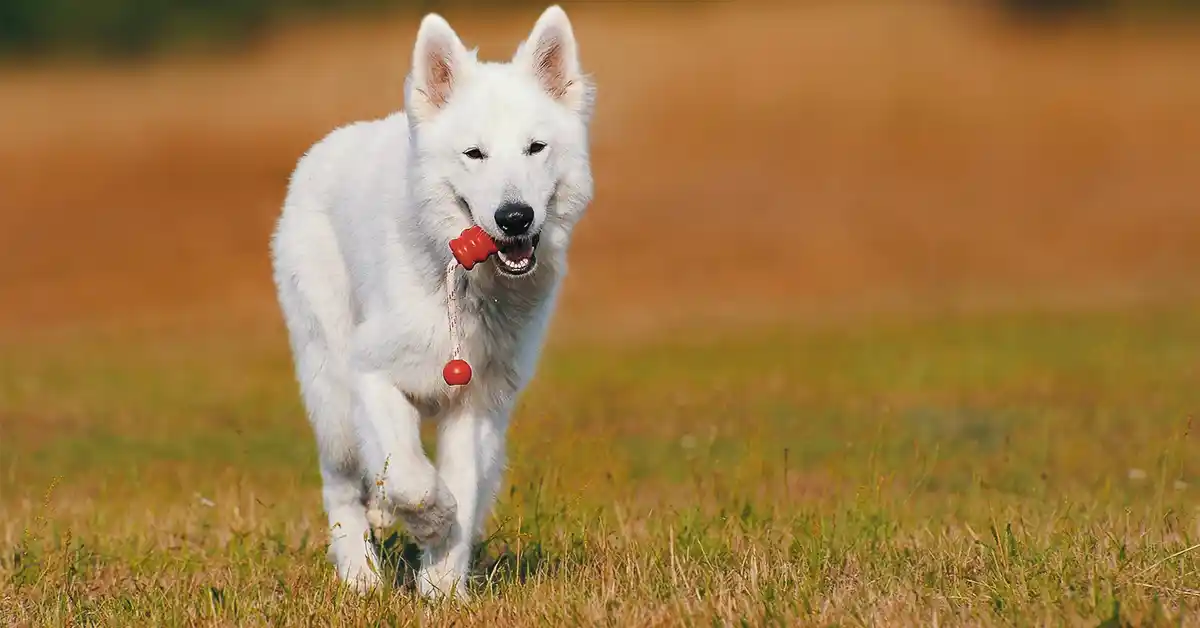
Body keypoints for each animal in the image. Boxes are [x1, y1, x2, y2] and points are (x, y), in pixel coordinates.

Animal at [270, 6, 592, 600]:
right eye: (474, 154)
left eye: (535, 148)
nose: (515, 217)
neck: (461, 286)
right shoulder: (371, 374)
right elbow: (412, 479)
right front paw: (430, 519)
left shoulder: (477, 404)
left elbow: (462, 486)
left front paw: (442, 589)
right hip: (332, 393)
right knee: (341, 485)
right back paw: (360, 578)